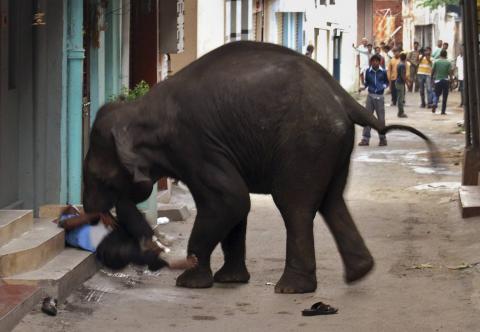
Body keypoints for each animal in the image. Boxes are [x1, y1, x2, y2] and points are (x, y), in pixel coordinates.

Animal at [82, 40, 436, 294]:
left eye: (98, 177)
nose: (91, 212)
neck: (142, 109)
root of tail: (342, 97)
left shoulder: (194, 146)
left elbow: (229, 200)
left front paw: (190, 281)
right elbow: (235, 207)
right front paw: (230, 280)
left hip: (307, 142)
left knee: (295, 205)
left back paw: (292, 289)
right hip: (333, 144)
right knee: (332, 201)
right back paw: (359, 273)